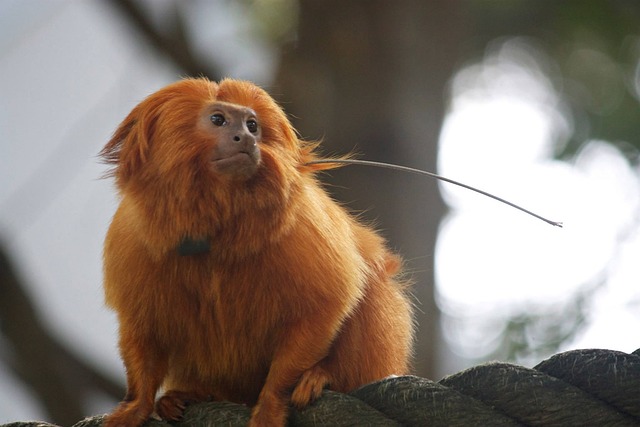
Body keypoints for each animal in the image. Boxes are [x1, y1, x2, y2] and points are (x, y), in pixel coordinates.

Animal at [100, 77, 414, 427]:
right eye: (218, 120)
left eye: (252, 125)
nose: (246, 138)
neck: (216, 222)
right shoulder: (132, 236)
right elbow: (142, 329)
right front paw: (138, 404)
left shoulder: (302, 224)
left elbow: (326, 306)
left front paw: (272, 402)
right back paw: (188, 396)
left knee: (373, 285)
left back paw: (324, 376)